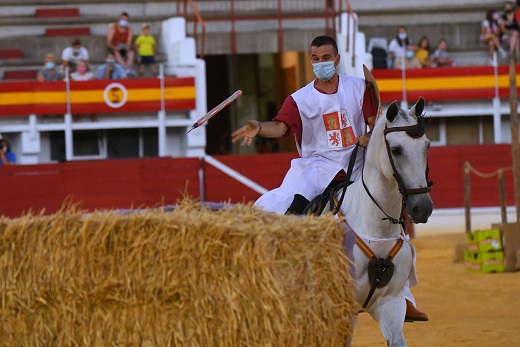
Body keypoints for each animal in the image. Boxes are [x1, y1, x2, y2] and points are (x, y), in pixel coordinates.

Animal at [322, 97, 432, 347]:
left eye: (427, 146)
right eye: (396, 150)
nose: (423, 208)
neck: (377, 227)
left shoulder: (391, 304)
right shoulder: (341, 310)